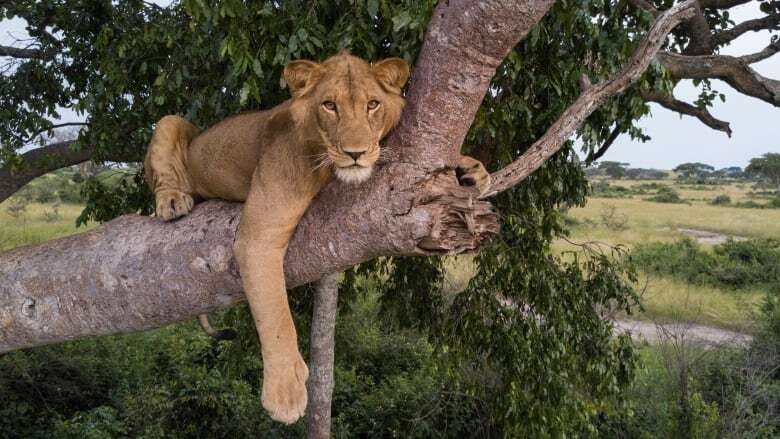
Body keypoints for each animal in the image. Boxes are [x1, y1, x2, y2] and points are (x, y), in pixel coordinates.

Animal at [143, 51, 490, 426]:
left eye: (372, 104)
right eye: (329, 106)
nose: (355, 153)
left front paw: (471, 168)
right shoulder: (258, 237)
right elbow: (275, 314)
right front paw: (285, 392)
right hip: (170, 122)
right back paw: (173, 200)